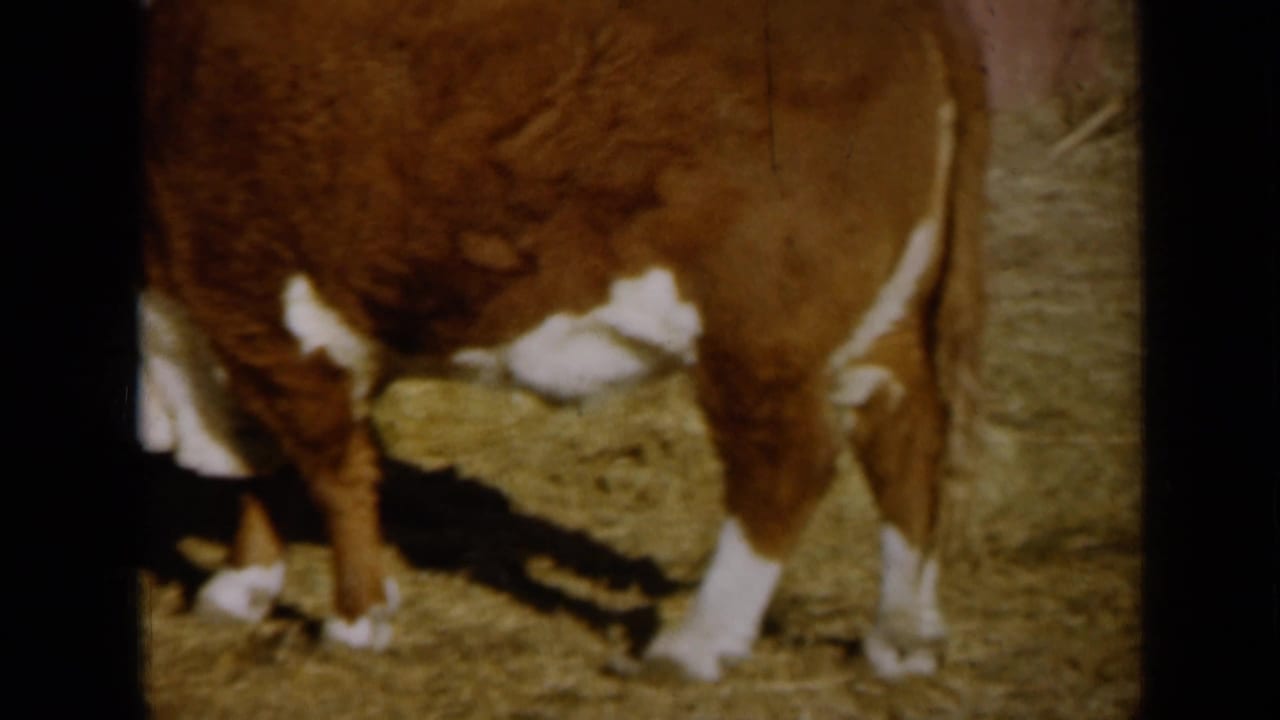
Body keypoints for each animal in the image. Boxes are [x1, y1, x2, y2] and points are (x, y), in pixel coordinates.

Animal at [138, 0, 988, 682]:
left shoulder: (259, 302)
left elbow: (328, 466)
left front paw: (355, 619)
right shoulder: (210, 326)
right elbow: (254, 464)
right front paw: (240, 588)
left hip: (759, 332)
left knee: (788, 464)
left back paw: (696, 645)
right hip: (883, 314)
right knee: (906, 437)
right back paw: (903, 641)